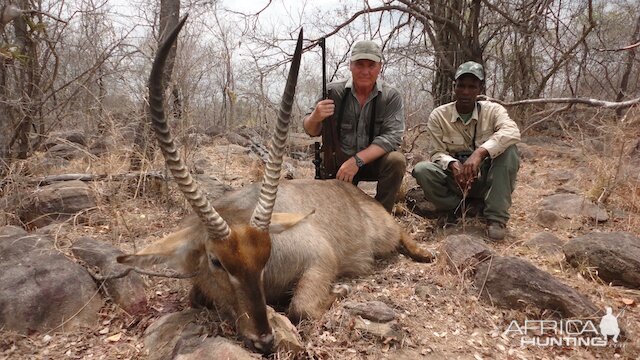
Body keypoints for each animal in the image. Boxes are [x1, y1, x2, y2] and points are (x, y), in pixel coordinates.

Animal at [116, 16, 436, 354]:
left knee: (399, 231)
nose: (264, 339)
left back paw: (424, 253)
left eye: (266, 255)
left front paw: (341, 291)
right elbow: (196, 298)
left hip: (385, 230)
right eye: (216, 261)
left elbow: (301, 307)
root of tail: (353, 192)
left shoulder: (321, 259)